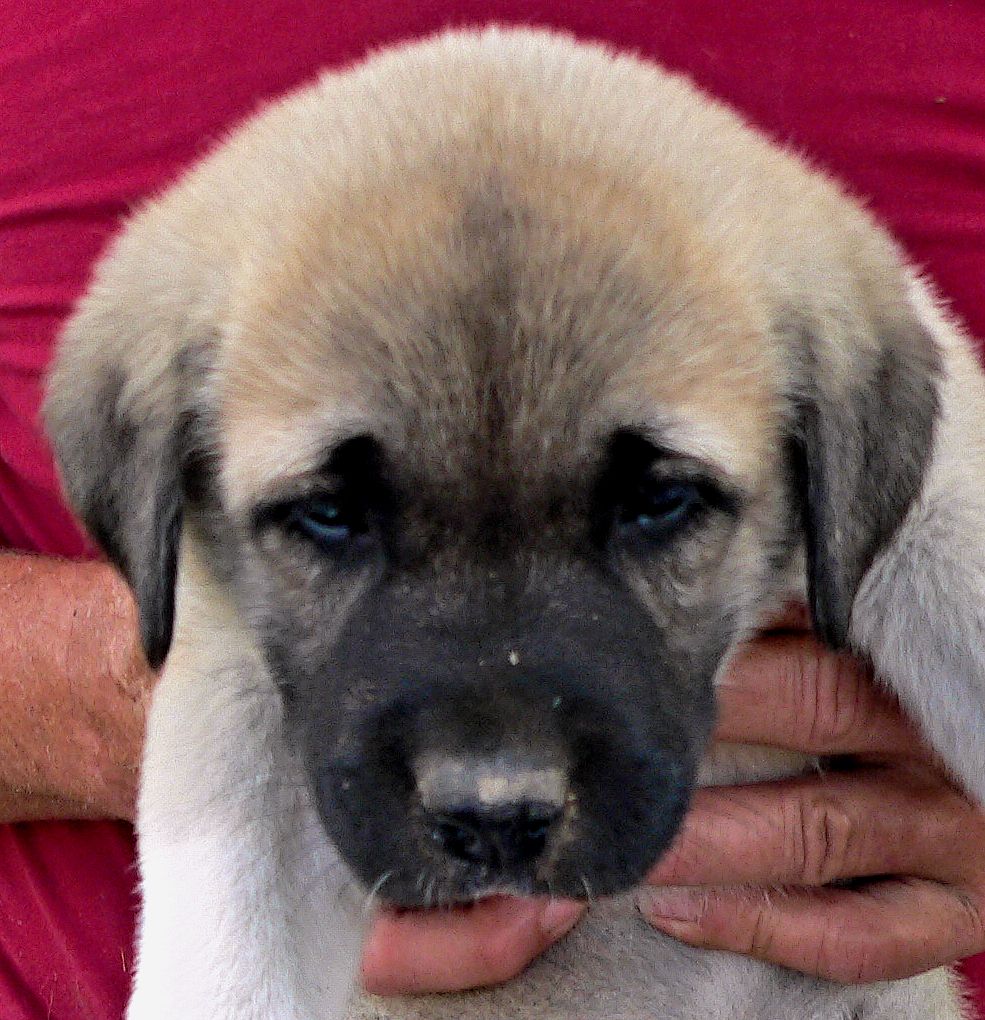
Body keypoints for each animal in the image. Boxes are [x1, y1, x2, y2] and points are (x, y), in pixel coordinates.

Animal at [46, 25, 985, 1020]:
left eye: (661, 503)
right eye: (328, 515)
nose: (495, 816)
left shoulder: (942, 511)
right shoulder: (241, 697)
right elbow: (228, 950)